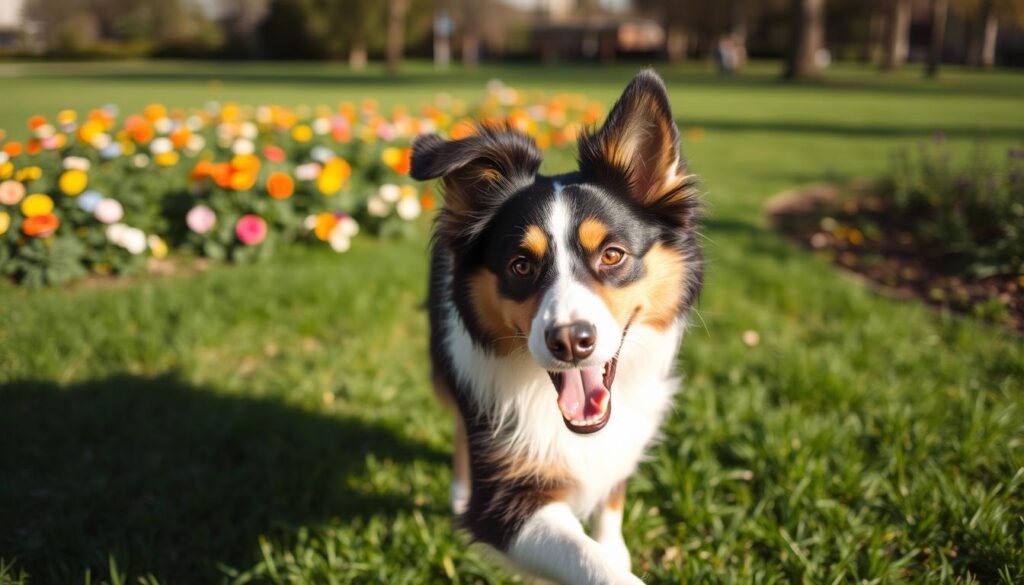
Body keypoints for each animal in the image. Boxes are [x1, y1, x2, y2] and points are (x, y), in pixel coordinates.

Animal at [411, 69, 700, 585]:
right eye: (521, 265)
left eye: (612, 255)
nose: (570, 341)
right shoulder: (506, 503)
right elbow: (594, 564)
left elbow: (610, 503)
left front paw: (616, 548)